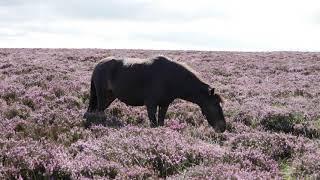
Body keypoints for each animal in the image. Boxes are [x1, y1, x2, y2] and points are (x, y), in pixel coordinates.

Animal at [84, 56, 226, 132]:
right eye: (214, 105)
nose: (223, 127)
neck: (170, 78)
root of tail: (98, 66)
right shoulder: (151, 104)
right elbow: (153, 124)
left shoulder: (164, 104)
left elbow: (160, 122)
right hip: (102, 97)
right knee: (98, 113)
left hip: (109, 97)